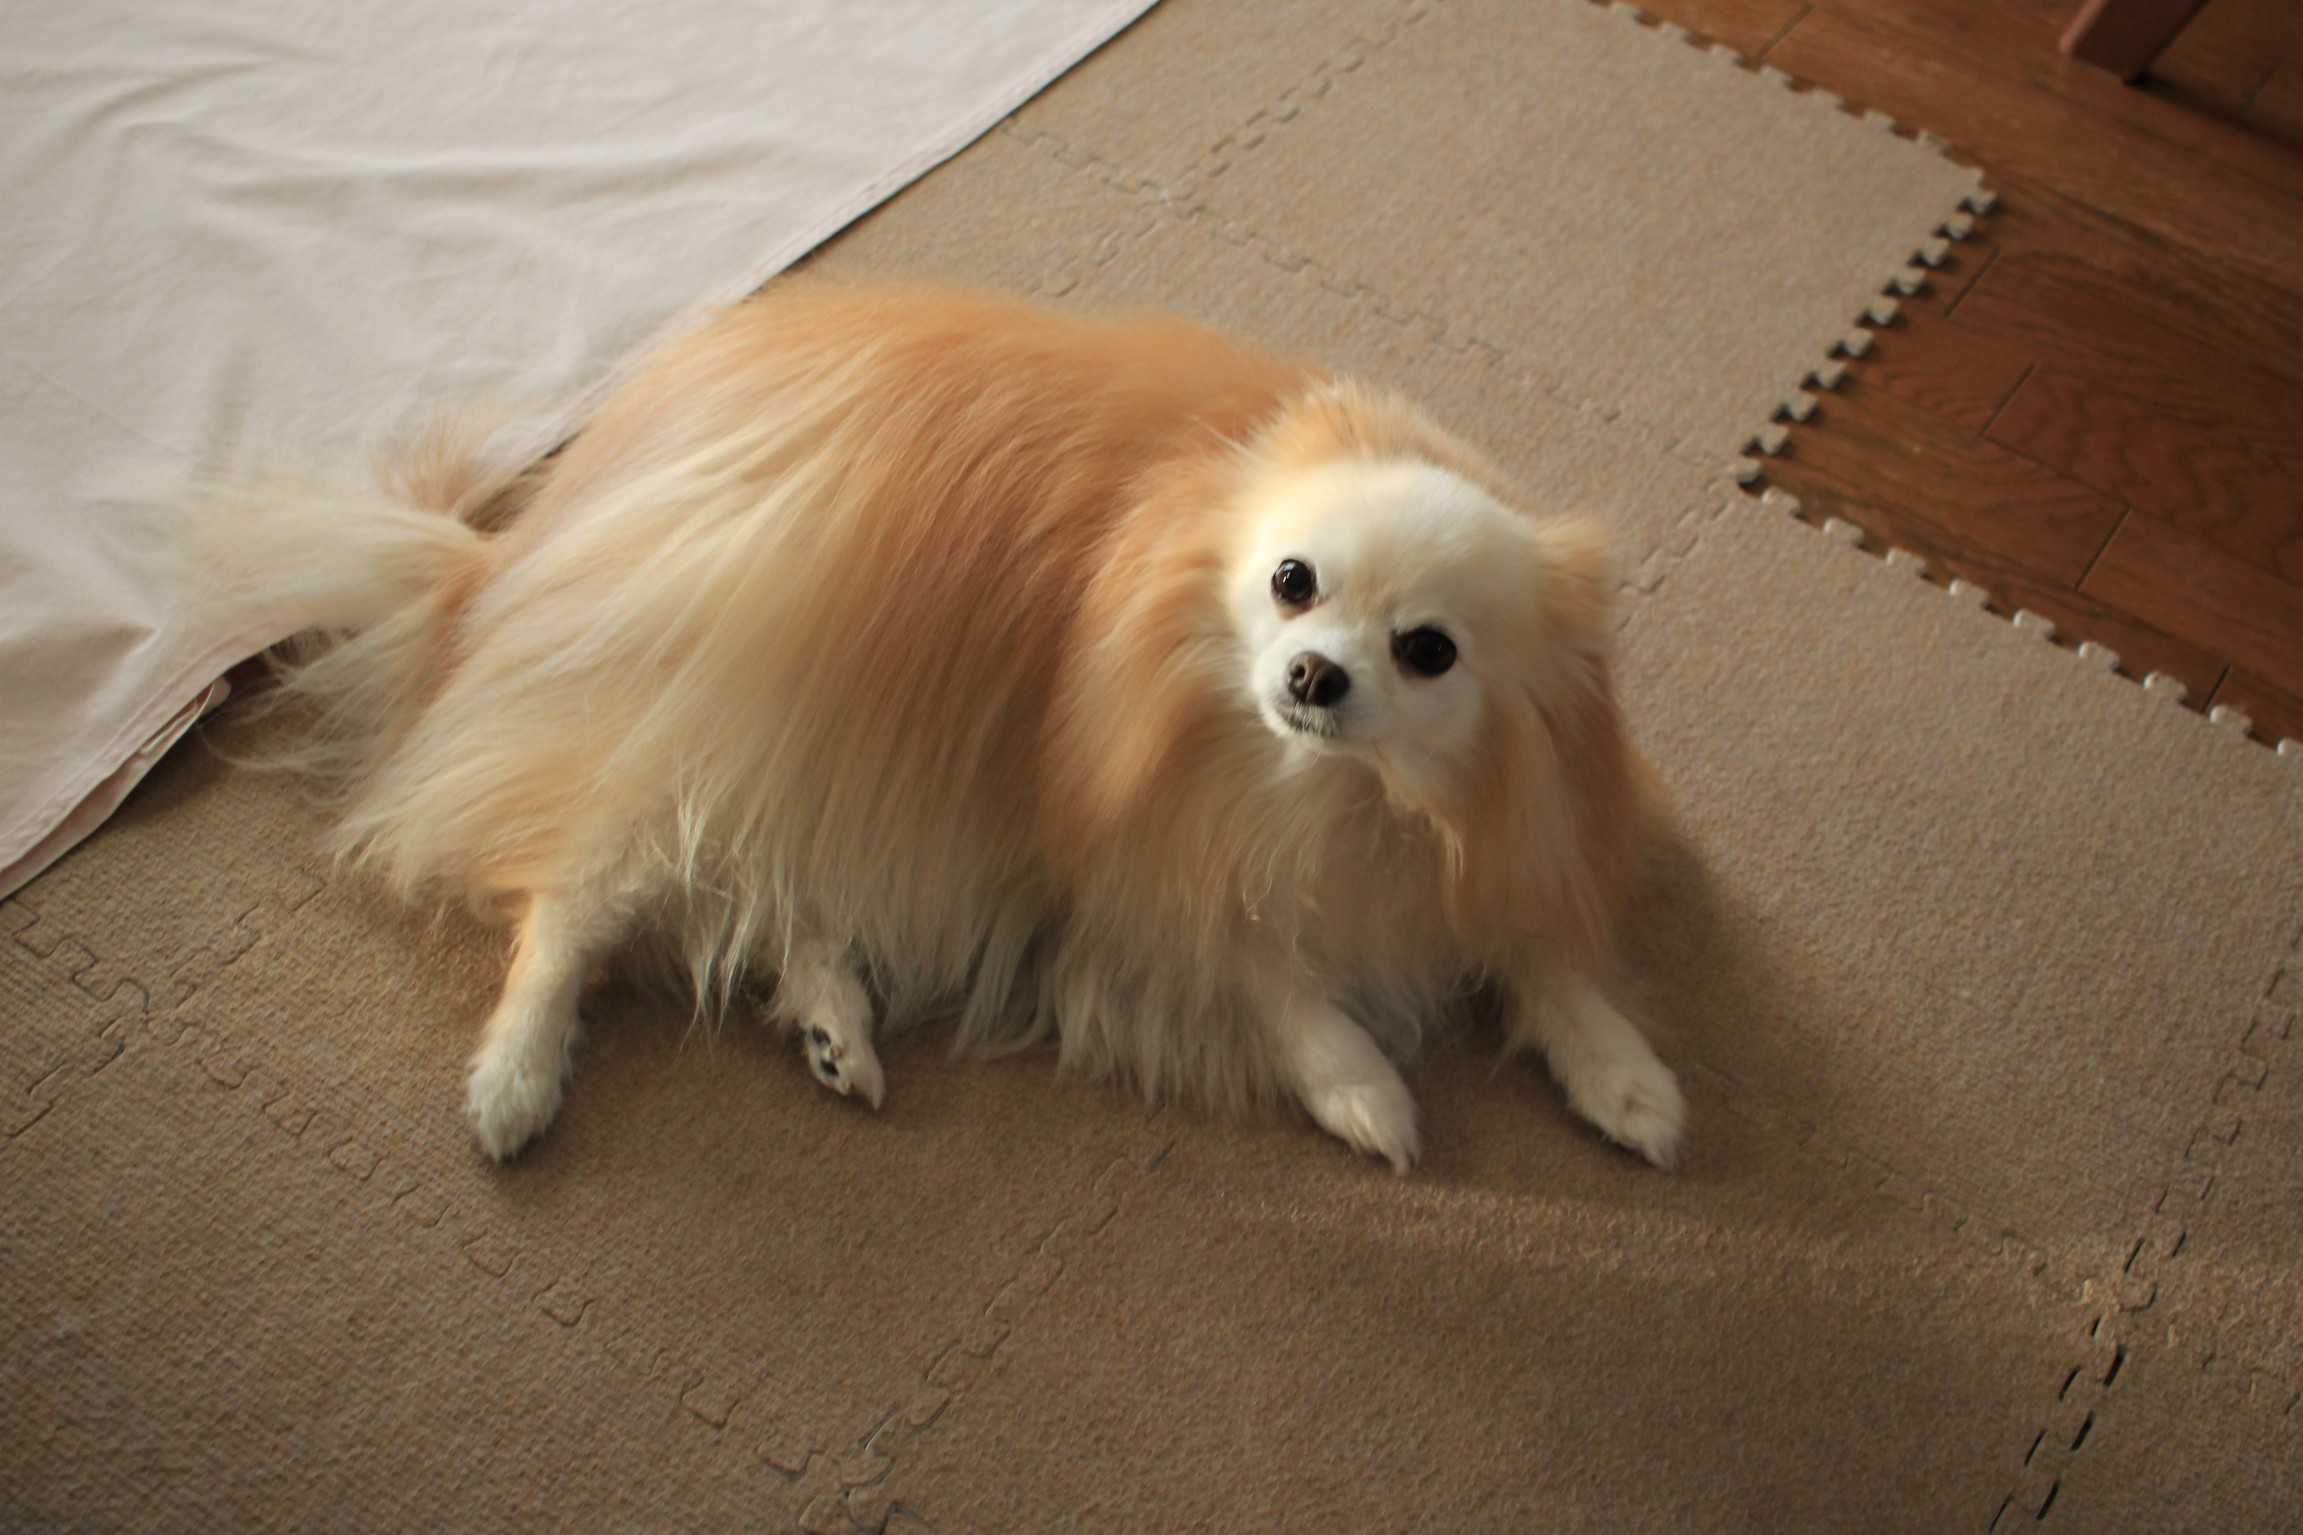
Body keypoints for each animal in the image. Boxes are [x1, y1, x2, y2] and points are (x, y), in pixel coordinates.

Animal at [203, 280, 1685, 1172]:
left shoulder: (1518, 829)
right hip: (712, 712)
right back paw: (514, 1081)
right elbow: (1266, 970)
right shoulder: (1135, 871)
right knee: (578, 889)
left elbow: (1537, 949)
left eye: (1427, 650)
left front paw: (1620, 1068)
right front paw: (1362, 1081)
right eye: (1291, 582)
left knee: (763, 890)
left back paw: (831, 1021)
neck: (1342, 799)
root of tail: (525, 542)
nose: (1314, 674)